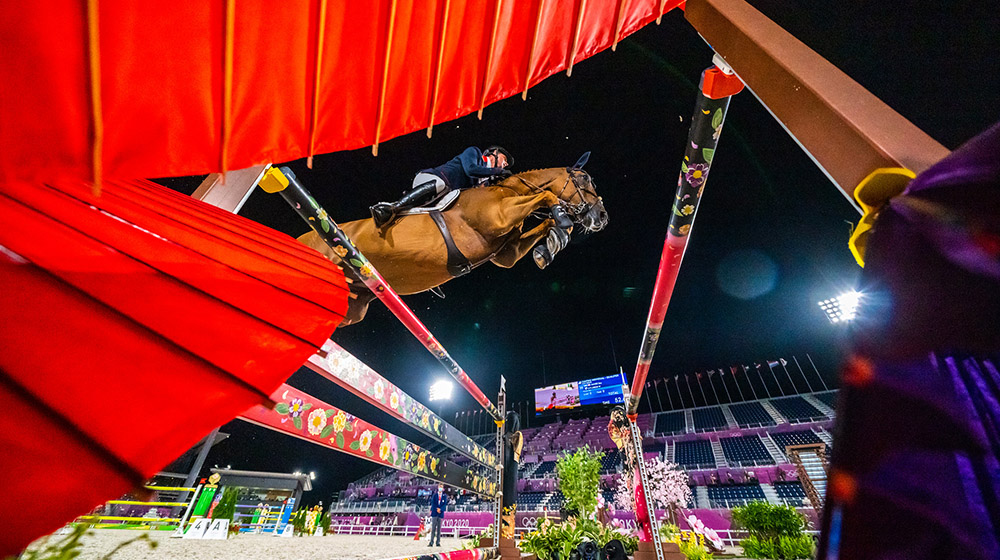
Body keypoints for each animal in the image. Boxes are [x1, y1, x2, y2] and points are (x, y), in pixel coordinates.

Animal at [296, 164, 604, 326]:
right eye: (585, 179)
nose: (602, 217)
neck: (507, 191)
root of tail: (303, 236)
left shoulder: (507, 252)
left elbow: (541, 226)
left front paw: (549, 246)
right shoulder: (499, 218)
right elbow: (547, 199)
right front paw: (562, 220)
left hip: (354, 305)